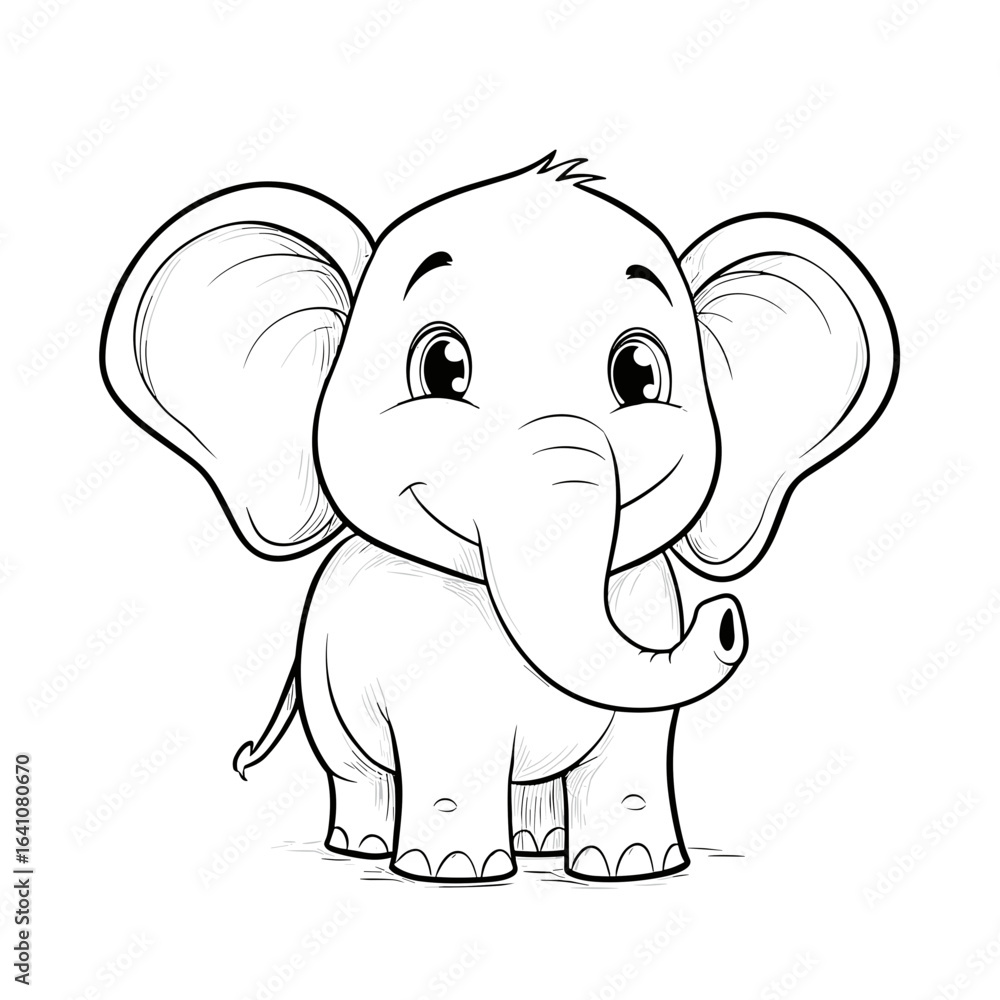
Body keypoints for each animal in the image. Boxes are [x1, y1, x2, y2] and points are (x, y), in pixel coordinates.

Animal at [100, 152, 898, 883]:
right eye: (442, 367)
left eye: (638, 375)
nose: (729, 618)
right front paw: (454, 872)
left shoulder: (650, 601)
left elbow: (638, 746)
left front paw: (634, 867)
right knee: (358, 773)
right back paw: (367, 846)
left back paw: (540, 846)